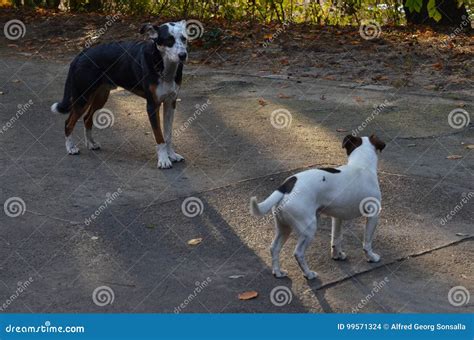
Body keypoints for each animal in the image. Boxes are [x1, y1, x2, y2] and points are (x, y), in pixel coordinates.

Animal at [50, 20, 187, 169]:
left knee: (87, 119)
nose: (183, 55)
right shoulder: (152, 105)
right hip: (83, 98)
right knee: (68, 122)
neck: (164, 65)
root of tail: (82, 54)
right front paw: (163, 159)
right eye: (169, 40)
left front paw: (171, 155)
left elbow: (168, 135)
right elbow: (159, 137)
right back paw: (71, 148)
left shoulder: (170, 103)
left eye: (184, 39)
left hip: (100, 97)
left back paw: (91, 143)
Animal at [248, 134, 386, 280]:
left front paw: (337, 255)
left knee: (274, 248)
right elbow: (367, 242)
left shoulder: (337, 218)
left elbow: (336, 239)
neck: (361, 165)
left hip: (283, 228)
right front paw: (371, 257)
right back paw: (308, 274)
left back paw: (278, 272)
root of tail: (285, 187)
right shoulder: (373, 215)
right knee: (298, 253)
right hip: (308, 229)